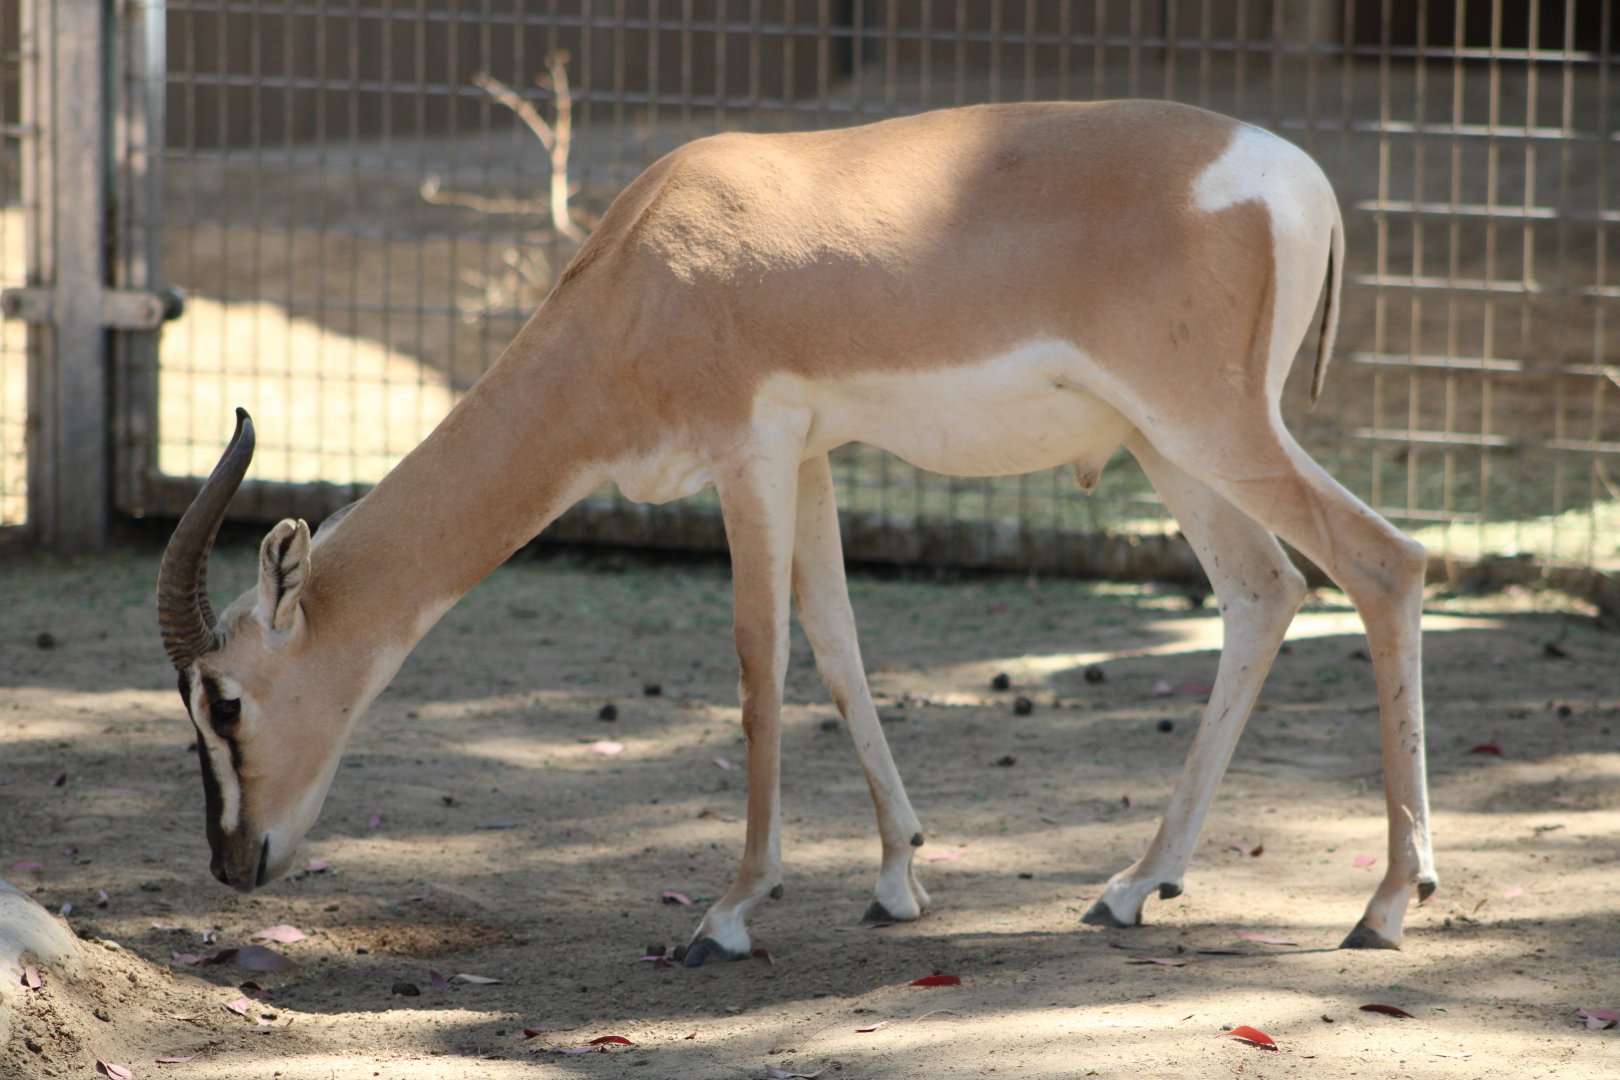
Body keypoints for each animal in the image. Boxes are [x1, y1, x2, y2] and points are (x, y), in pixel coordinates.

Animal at [159, 100, 1436, 964]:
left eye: (224, 700)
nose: (231, 863)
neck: (647, 269)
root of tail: (1300, 178)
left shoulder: (753, 452)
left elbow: (758, 662)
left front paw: (729, 910)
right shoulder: (813, 455)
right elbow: (837, 644)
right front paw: (896, 878)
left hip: (1211, 426)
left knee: (1385, 561)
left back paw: (1386, 904)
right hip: (1171, 446)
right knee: (1263, 591)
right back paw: (1135, 885)